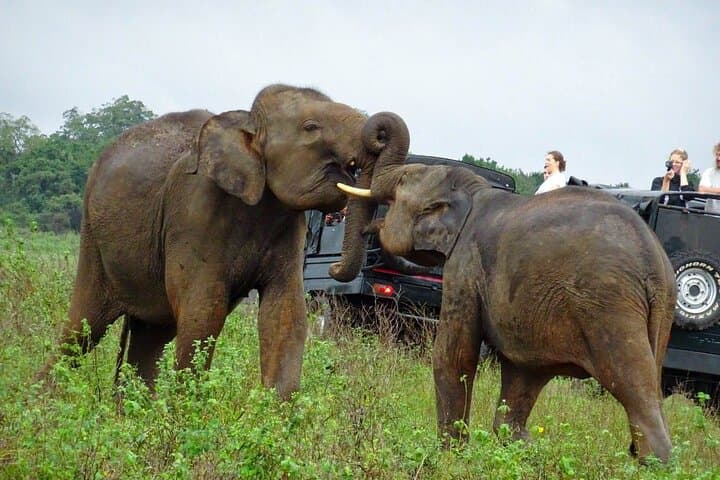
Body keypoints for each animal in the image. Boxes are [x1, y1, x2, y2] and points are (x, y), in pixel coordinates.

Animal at [39, 84, 396, 400]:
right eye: (311, 127)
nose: (334, 268)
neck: (247, 122)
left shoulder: (288, 229)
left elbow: (285, 314)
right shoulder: (194, 213)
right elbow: (204, 310)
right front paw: (187, 418)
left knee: (151, 334)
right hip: (93, 239)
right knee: (82, 329)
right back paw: (42, 403)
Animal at [340, 115, 675, 462]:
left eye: (402, 180)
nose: (336, 269)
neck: (472, 189)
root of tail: (654, 263)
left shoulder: (465, 267)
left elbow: (454, 354)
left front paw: (450, 456)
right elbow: (519, 376)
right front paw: (518, 450)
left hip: (609, 308)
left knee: (636, 394)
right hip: (662, 315)